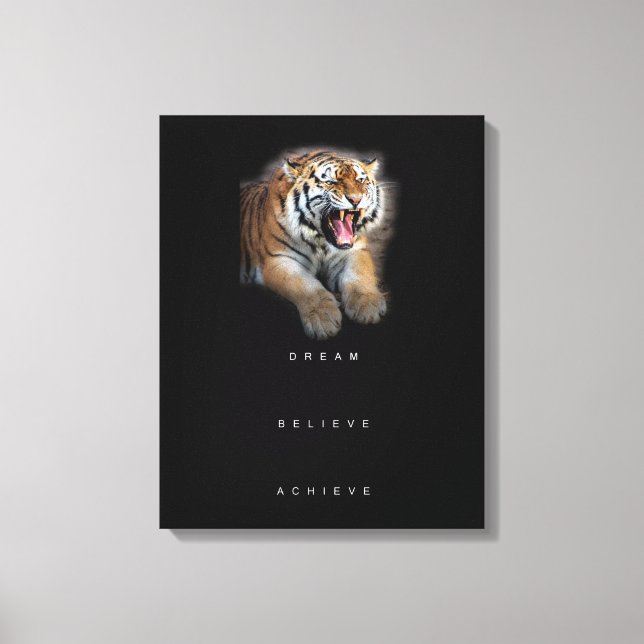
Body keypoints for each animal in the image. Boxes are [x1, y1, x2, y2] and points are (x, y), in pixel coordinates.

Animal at [240, 150, 389, 339]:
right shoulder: (279, 260)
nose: (356, 199)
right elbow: (305, 286)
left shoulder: (355, 251)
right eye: (330, 182)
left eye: (361, 180)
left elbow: (359, 275)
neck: (321, 240)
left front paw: (367, 306)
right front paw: (322, 319)